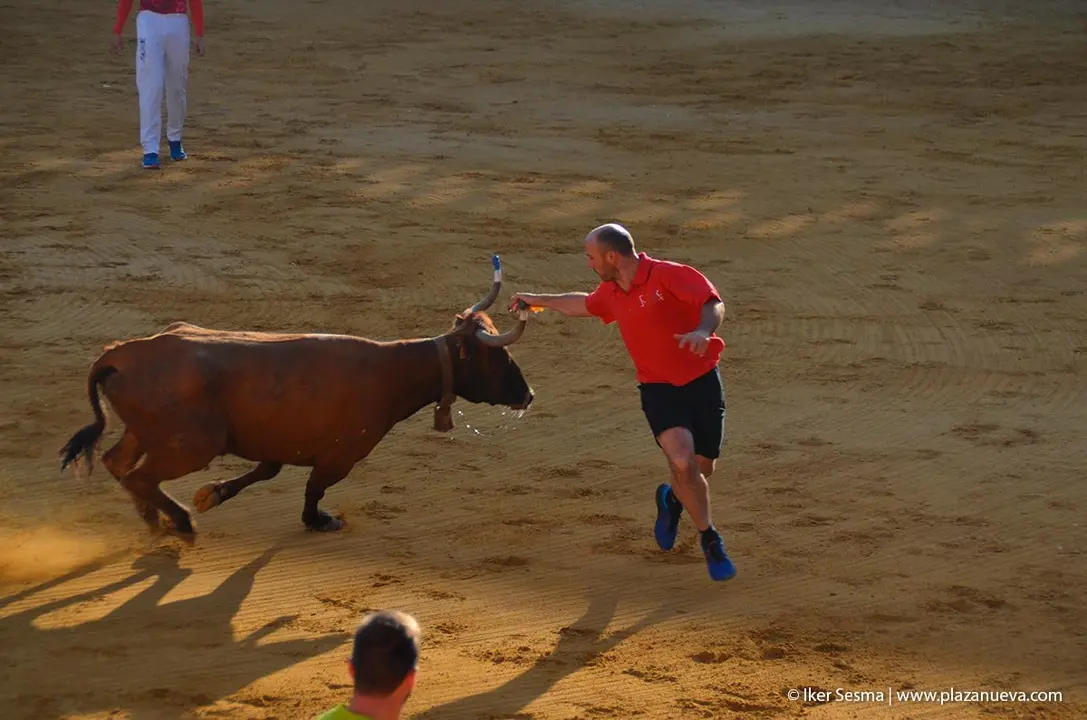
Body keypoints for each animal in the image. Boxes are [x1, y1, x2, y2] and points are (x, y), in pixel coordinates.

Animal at [58, 256, 535, 542]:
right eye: (498, 358)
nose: (529, 394)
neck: (392, 371)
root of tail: (119, 354)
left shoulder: (279, 443)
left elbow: (266, 471)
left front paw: (214, 493)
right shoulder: (340, 455)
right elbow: (313, 487)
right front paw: (318, 520)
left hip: (144, 432)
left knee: (118, 463)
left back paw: (154, 521)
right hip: (191, 445)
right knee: (139, 476)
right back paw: (179, 522)